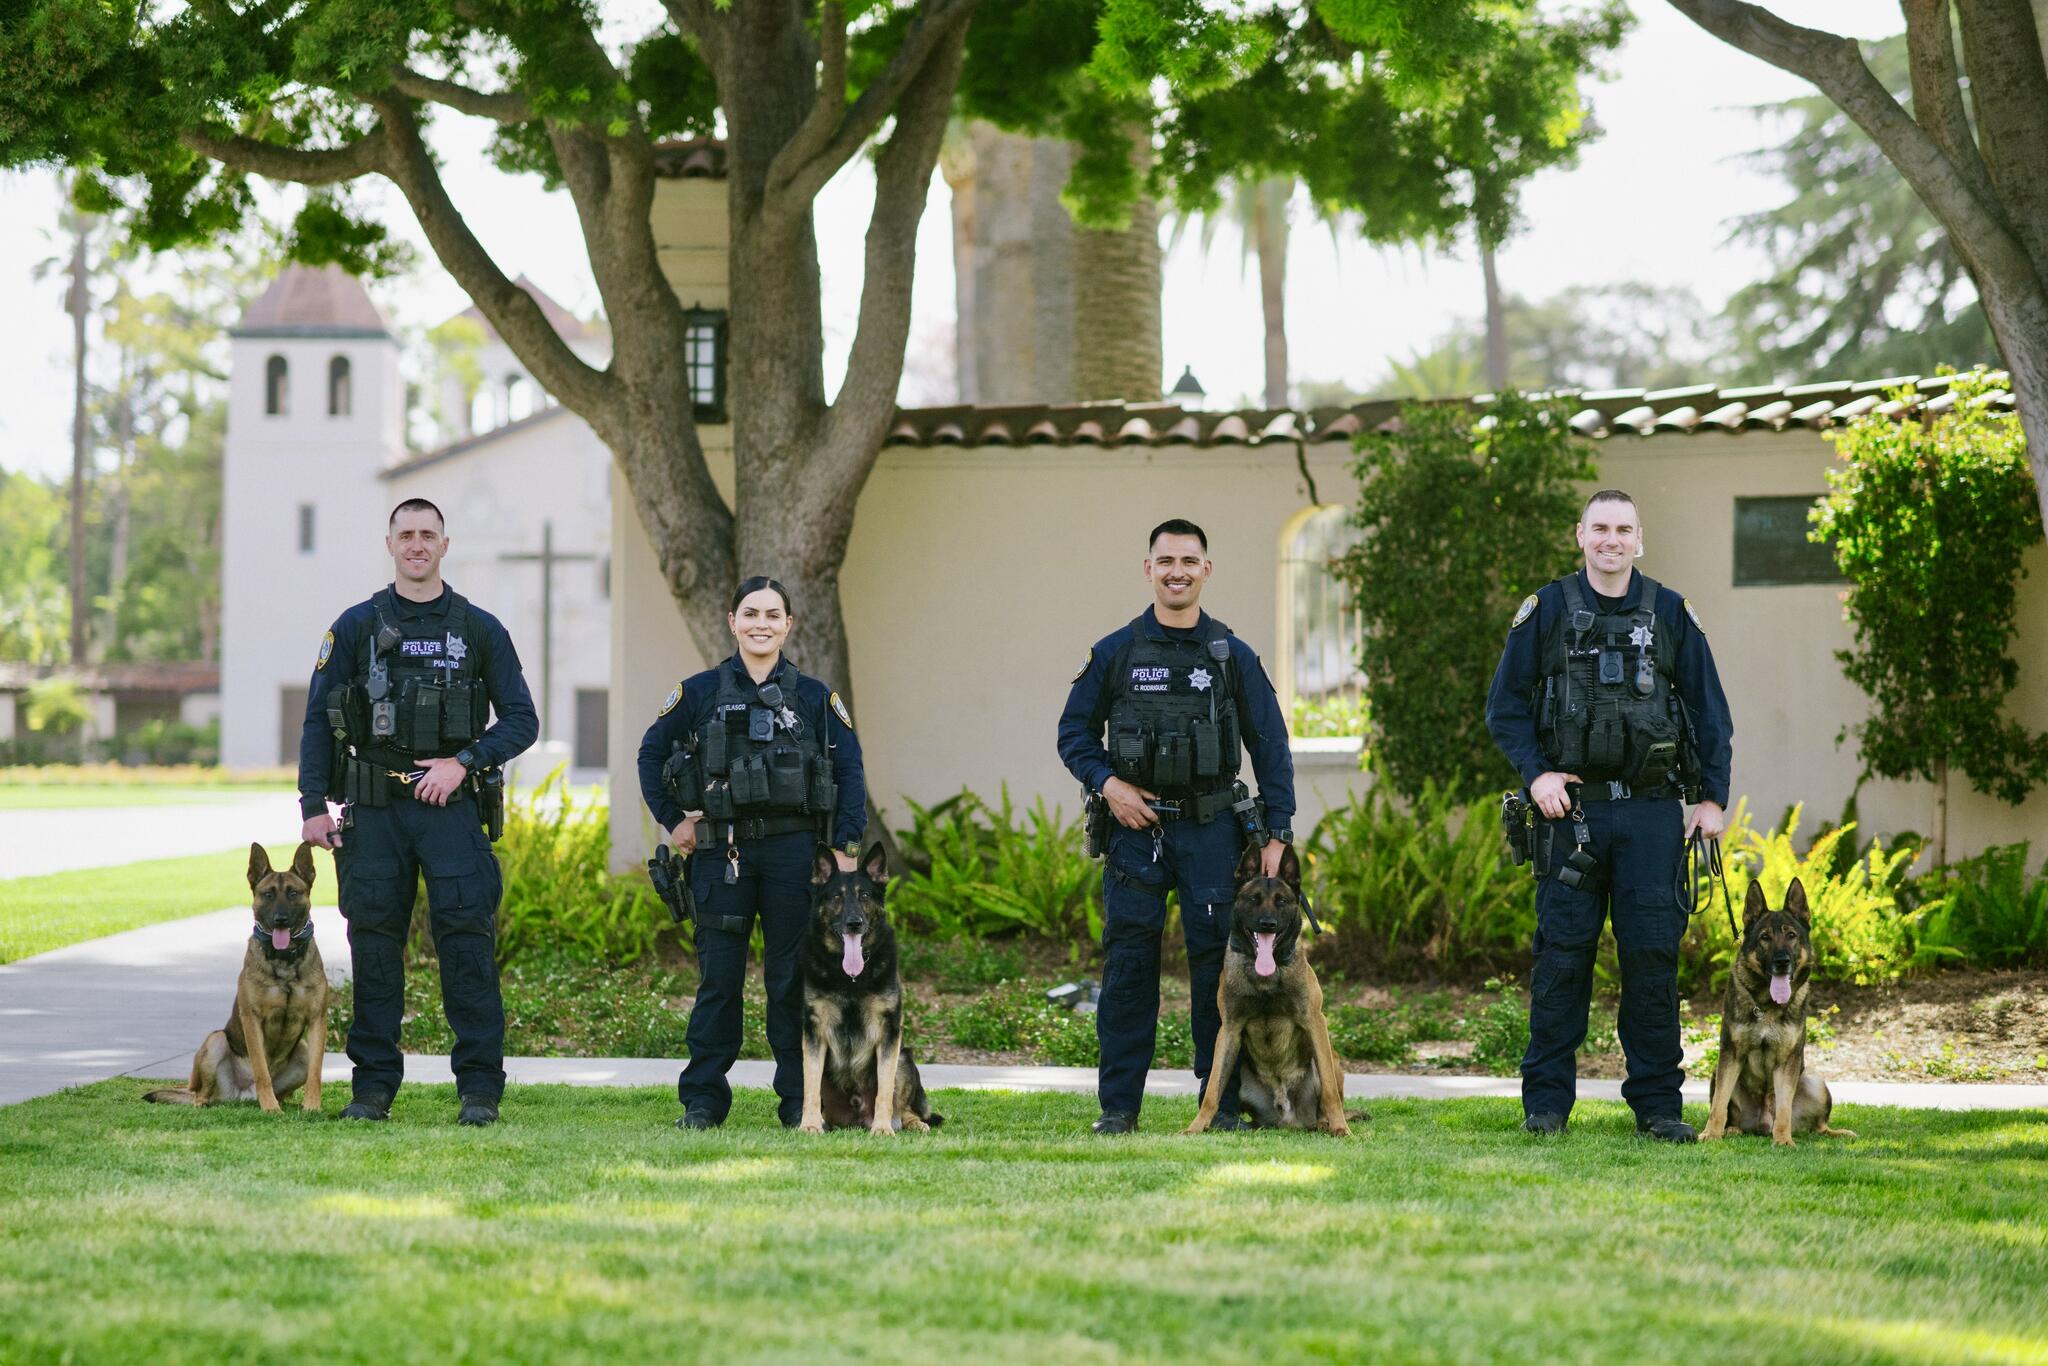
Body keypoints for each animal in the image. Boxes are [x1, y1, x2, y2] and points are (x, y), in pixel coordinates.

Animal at [146, 843, 327, 1114]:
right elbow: (261, 1069)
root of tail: (242, 1096)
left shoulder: (317, 1021)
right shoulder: (252, 1019)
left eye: (294, 893)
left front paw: (312, 1107)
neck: (284, 960)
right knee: (200, 1095)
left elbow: (316, 1072)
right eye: (268, 894)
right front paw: (270, 1108)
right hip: (216, 1041)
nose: (280, 919)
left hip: (303, 1051)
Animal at [794, 843, 946, 1130]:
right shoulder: (814, 1032)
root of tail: (857, 1116)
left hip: (904, 1058)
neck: (850, 978)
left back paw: (911, 1123)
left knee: (903, 1108)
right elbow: (810, 1086)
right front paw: (809, 1124)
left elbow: (885, 1090)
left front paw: (883, 1128)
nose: (854, 923)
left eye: (864, 895)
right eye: (837, 897)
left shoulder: (889, 1033)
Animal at [1187, 847, 1359, 1138]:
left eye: (1282, 901)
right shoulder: (1229, 1029)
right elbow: (1212, 1090)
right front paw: (1196, 1127)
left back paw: (1327, 1123)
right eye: (1253, 899)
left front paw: (1341, 1128)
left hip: (1330, 1057)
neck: (1265, 978)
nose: (1267, 923)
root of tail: (1289, 1118)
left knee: (1327, 1094)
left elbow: (1330, 1092)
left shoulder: (1315, 1022)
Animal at [1695, 876, 1859, 1146]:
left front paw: (1783, 1139)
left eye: (1791, 935)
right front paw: (1710, 1134)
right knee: (1730, 1113)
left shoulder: (1787, 1061)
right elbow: (1718, 1104)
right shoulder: (1730, 1055)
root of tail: (1761, 1123)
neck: (1768, 1005)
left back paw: (1836, 1133)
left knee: (1818, 1126)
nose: (1782, 961)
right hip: (1717, 1073)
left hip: (1816, 1083)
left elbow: (1783, 1109)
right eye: (1765, 937)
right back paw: (1731, 1130)